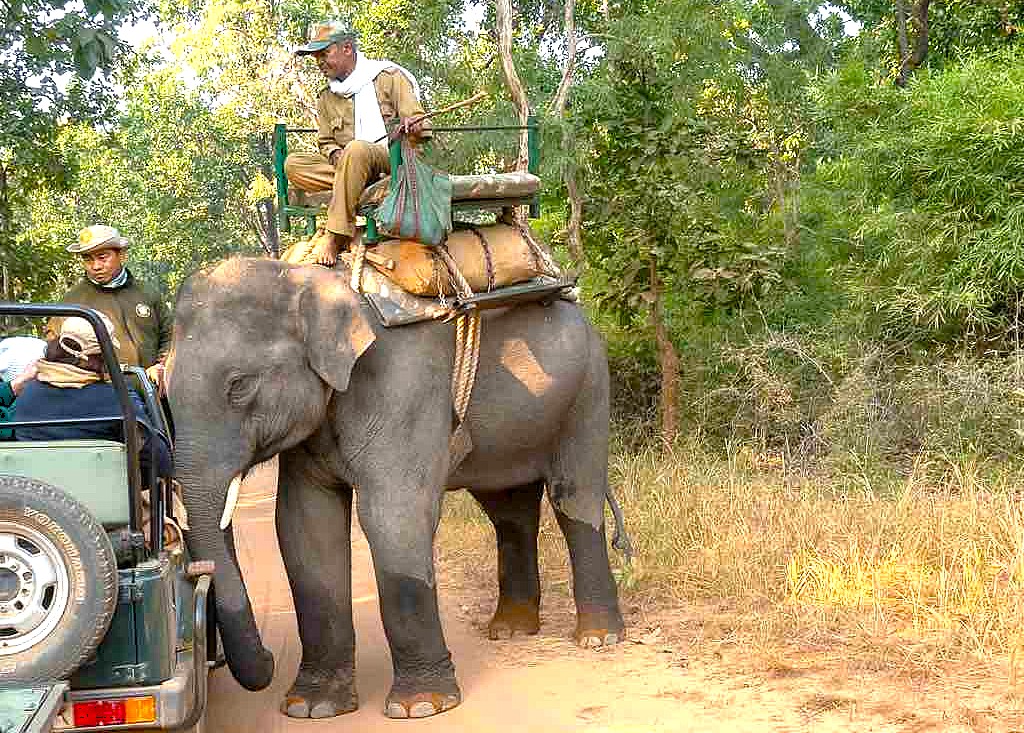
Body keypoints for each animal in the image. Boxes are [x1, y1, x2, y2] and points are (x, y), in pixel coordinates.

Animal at [167, 257, 624, 719]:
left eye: (239, 386)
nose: (269, 658)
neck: (310, 278)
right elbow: (305, 524)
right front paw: (311, 707)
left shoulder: (404, 385)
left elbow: (393, 516)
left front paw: (421, 706)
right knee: (509, 511)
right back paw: (511, 630)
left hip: (587, 393)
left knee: (575, 500)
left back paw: (598, 637)